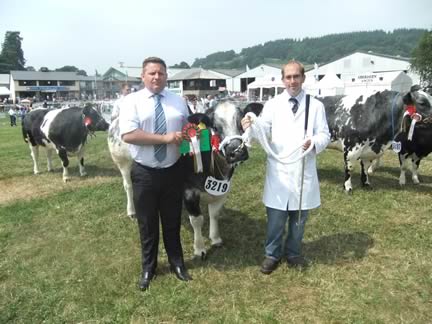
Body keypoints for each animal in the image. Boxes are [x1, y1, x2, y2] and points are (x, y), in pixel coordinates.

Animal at [108, 100, 264, 258]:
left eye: (242, 122)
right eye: (214, 127)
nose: (236, 152)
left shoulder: (223, 189)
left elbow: (214, 214)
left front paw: (215, 239)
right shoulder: (189, 190)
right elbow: (197, 220)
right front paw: (199, 248)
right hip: (122, 162)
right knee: (128, 186)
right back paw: (132, 212)